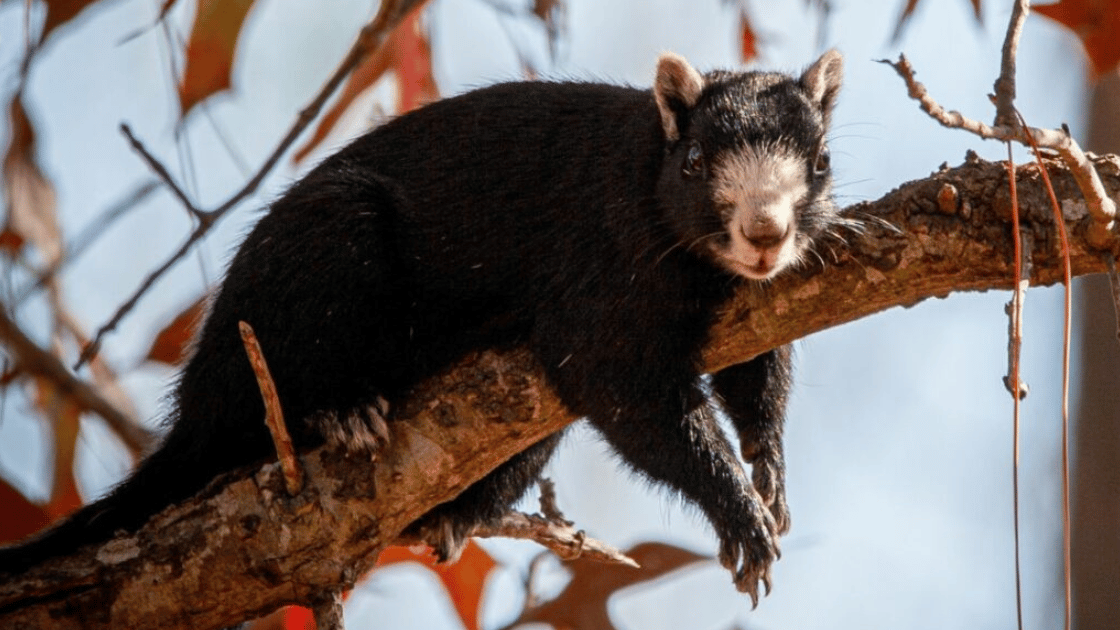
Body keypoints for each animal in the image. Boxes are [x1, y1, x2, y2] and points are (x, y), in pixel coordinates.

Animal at [0, 49, 842, 596]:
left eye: (821, 161)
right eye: (695, 160)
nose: (765, 232)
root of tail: (195, 406)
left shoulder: (751, 305)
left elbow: (758, 380)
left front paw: (769, 472)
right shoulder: (600, 277)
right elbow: (630, 395)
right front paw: (740, 515)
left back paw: (454, 515)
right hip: (330, 247)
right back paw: (344, 411)